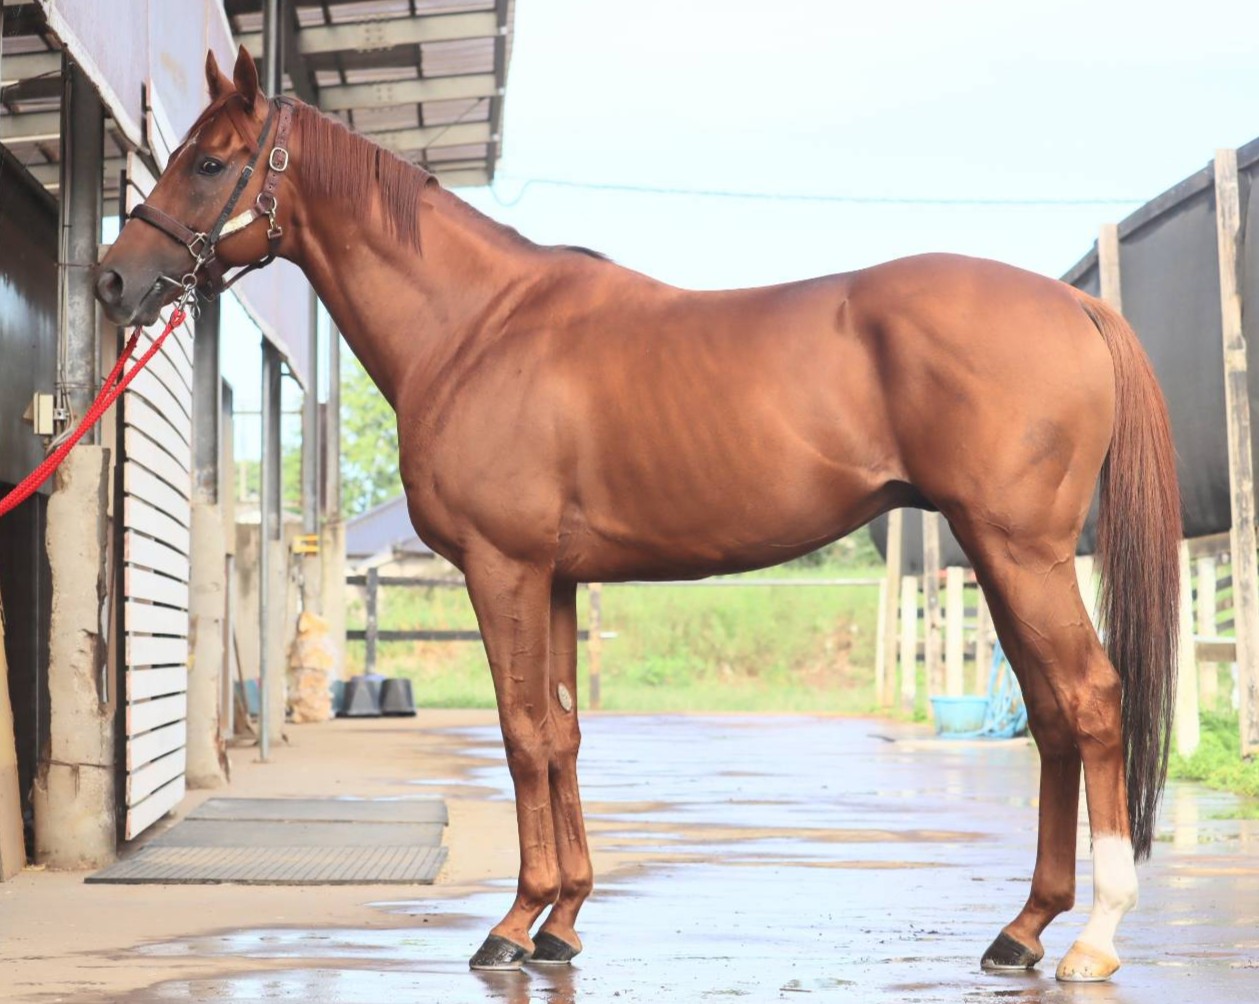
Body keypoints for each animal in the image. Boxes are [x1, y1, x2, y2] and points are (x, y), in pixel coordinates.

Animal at [95, 46, 1180, 983]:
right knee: (1049, 715)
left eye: (209, 161)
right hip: (1000, 559)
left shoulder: (501, 567)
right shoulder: (556, 578)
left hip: (1020, 552)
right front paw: (563, 920)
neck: (476, 325)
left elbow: (520, 732)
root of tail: (1071, 304)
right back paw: (1021, 929)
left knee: (1090, 701)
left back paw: (1094, 937)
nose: (111, 279)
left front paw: (510, 922)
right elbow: (563, 733)